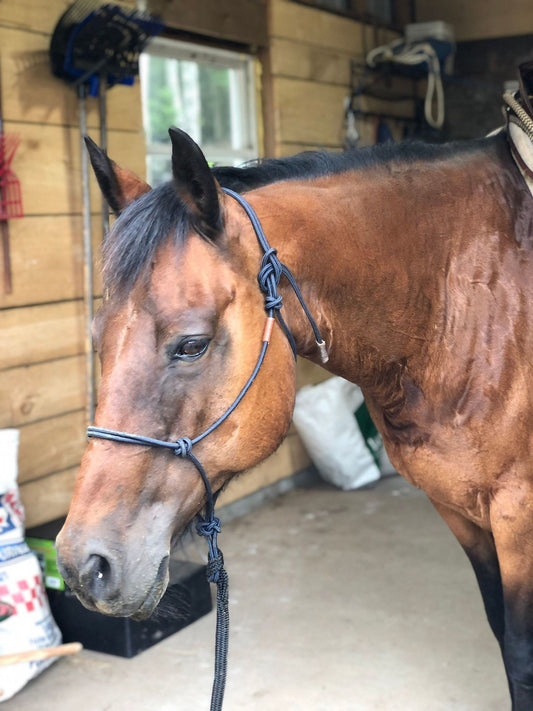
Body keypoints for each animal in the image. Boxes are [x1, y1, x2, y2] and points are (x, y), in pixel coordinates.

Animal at [55, 116, 533, 708]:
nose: (83, 565)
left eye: (191, 345)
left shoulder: (518, 518)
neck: (465, 301)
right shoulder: (460, 510)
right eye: (97, 339)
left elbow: (521, 656)